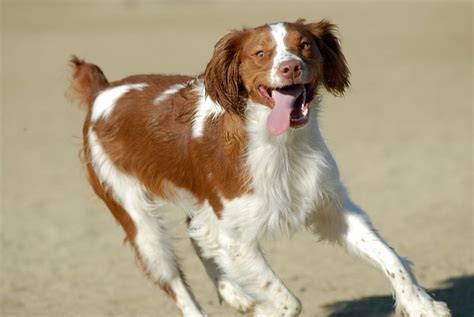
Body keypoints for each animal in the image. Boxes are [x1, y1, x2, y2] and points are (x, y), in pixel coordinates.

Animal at [68, 20, 450, 316]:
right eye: (260, 53)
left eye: (305, 45)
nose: (290, 67)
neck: (280, 144)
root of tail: (102, 91)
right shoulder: (237, 237)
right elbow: (287, 300)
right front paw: (264, 306)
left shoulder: (331, 207)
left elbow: (392, 259)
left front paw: (422, 305)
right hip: (140, 223)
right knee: (176, 283)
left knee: (196, 236)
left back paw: (235, 294)